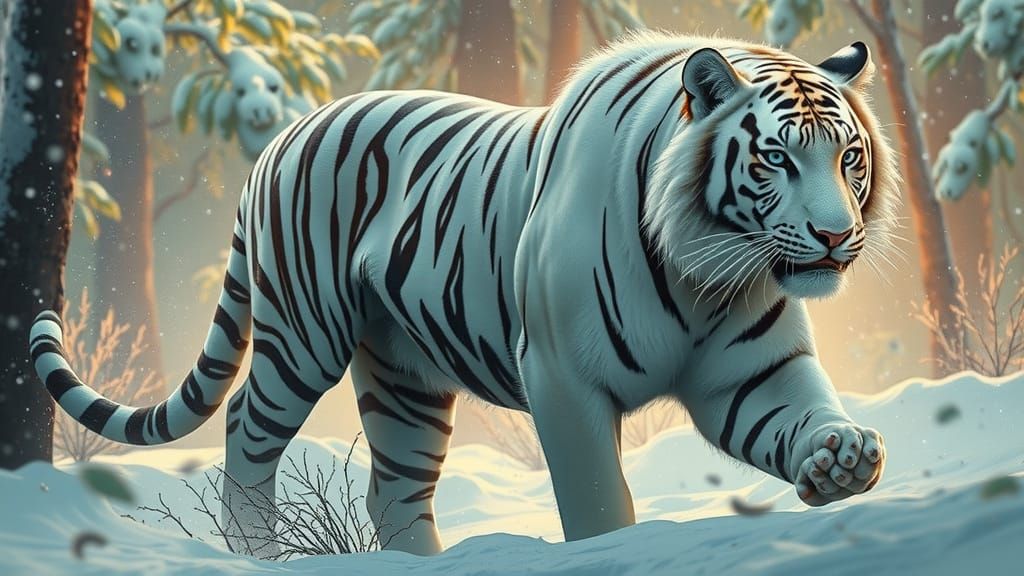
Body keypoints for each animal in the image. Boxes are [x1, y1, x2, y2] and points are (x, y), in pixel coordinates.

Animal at [30, 32, 897, 557]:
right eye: (777, 158)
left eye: (848, 155)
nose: (833, 236)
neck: (707, 272)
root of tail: (280, 137)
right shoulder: (561, 376)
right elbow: (596, 499)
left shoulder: (752, 374)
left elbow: (799, 417)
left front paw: (842, 459)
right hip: (302, 333)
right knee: (247, 427)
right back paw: (255, 555)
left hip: (404, 376)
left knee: (392, 490)